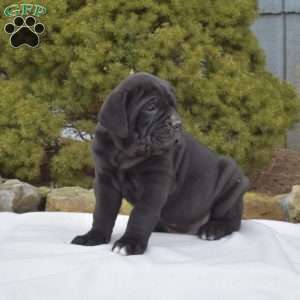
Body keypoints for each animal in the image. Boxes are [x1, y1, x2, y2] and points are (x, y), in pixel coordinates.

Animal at [71, 72, 250, 255]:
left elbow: (141, 214)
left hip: (232, 184)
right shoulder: (105, 181)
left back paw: (213, 229)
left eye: (173, 106)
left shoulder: (155, 183)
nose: (178, 124)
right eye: (151, 107)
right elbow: (102, 211)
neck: (126, 152)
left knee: (232, 221)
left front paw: (130, 243)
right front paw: (94, 236)